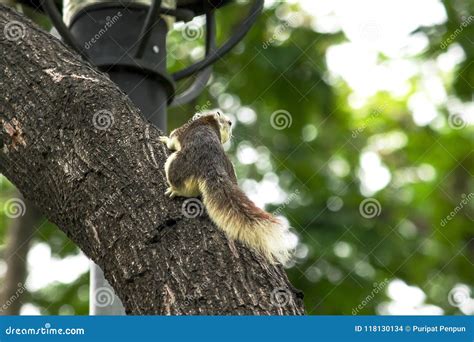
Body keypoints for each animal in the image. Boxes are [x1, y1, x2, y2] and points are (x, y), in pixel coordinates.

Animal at [161, 112, 290, 264]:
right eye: (226, 122)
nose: (230, 122)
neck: (210, 121)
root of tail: (212, 164)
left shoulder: (180, 132)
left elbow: (172, 140)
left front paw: (164, 139)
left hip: (176, 164)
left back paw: (175, 190)